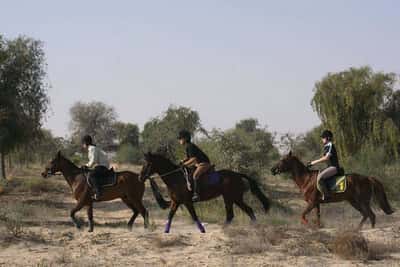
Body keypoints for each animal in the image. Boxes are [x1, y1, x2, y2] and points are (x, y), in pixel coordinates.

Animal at [139, 153, 270, 234]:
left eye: (148, 164)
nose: (141, 177)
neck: (175, 178)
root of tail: (238, 174)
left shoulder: (187, 202)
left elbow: (194, 216)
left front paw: (202, 230)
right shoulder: (176, 201)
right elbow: (170, 216)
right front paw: (166, 231)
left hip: (230, 197)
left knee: (234, 213)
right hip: (235, 198)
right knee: (246, 210)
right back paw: (253, 227)